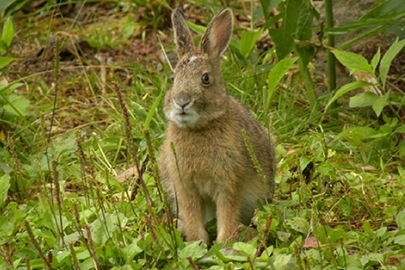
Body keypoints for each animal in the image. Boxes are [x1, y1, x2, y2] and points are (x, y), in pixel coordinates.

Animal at [157, 7, 274, 245]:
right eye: (173, 78)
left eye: (205, 78)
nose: (182, 102)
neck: (199, 128)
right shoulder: (184, 186)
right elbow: (192, 214)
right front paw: (197, 242)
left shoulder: (228, 182)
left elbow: (227, 212)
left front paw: (223, 243)